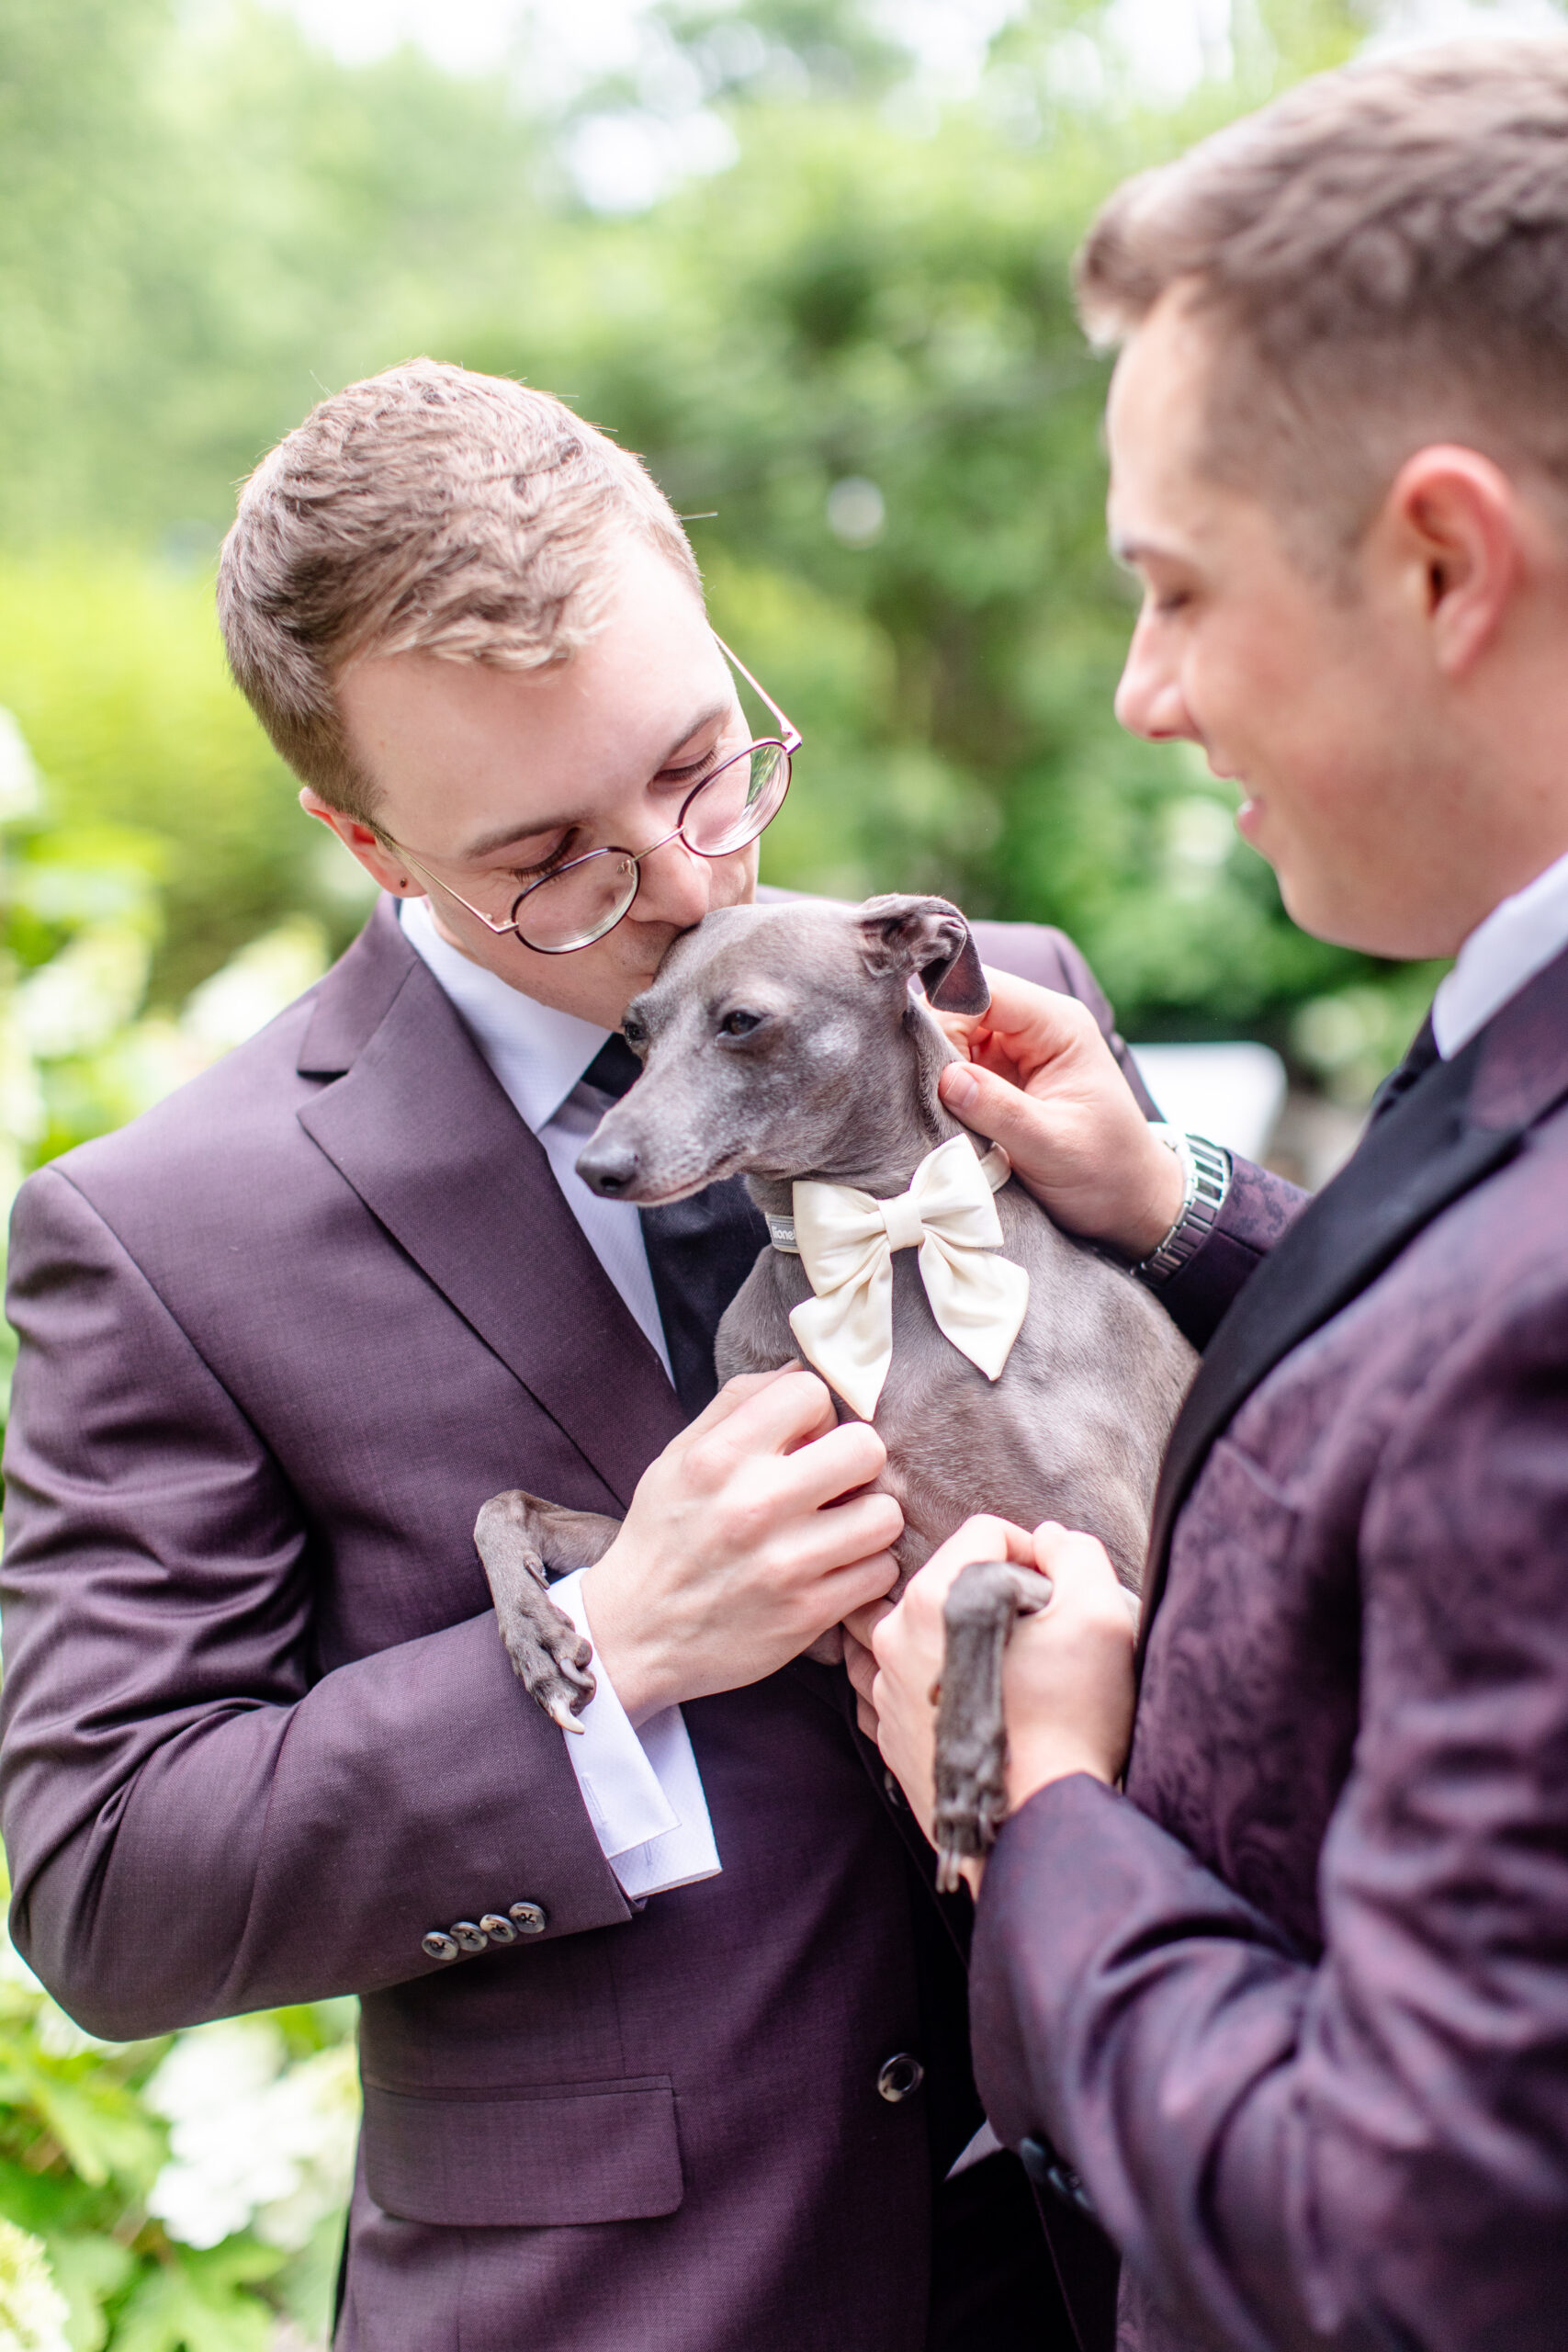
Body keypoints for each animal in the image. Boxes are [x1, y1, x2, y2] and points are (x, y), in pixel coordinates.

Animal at [472, 888, 1194, 1882]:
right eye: (635, 1030)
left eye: (742, 1021)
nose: (598, 1167)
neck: (879, 1254)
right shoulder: (820, 1617)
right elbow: (503, 1504)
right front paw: (535, 1635)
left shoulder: (1120, 1583)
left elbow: (975, 1577)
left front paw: (962, 1763)